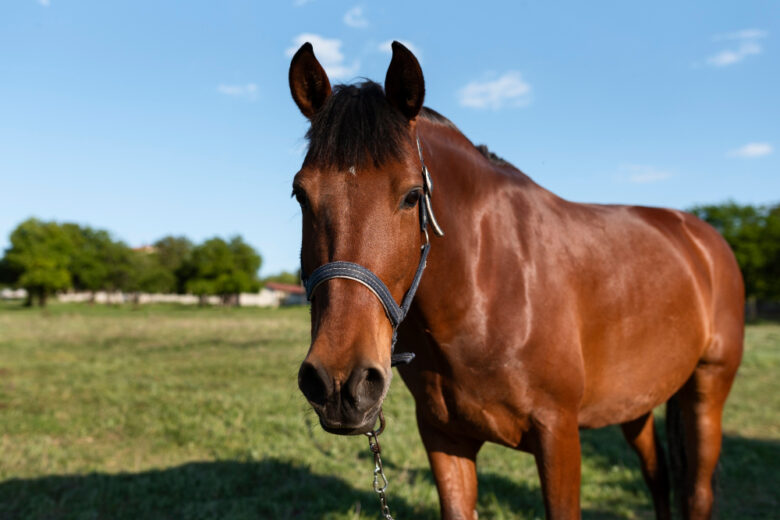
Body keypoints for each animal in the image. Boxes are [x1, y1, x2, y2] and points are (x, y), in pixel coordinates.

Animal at [288, 41, 744, 520]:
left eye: (412, 196)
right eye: (301, 194)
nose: (341, 383)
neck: (486, 289)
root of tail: (703, 237)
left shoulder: (559, 435)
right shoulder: (444, 438)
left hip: (707, 390)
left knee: (697, 491)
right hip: (634, 403)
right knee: (658, 478)